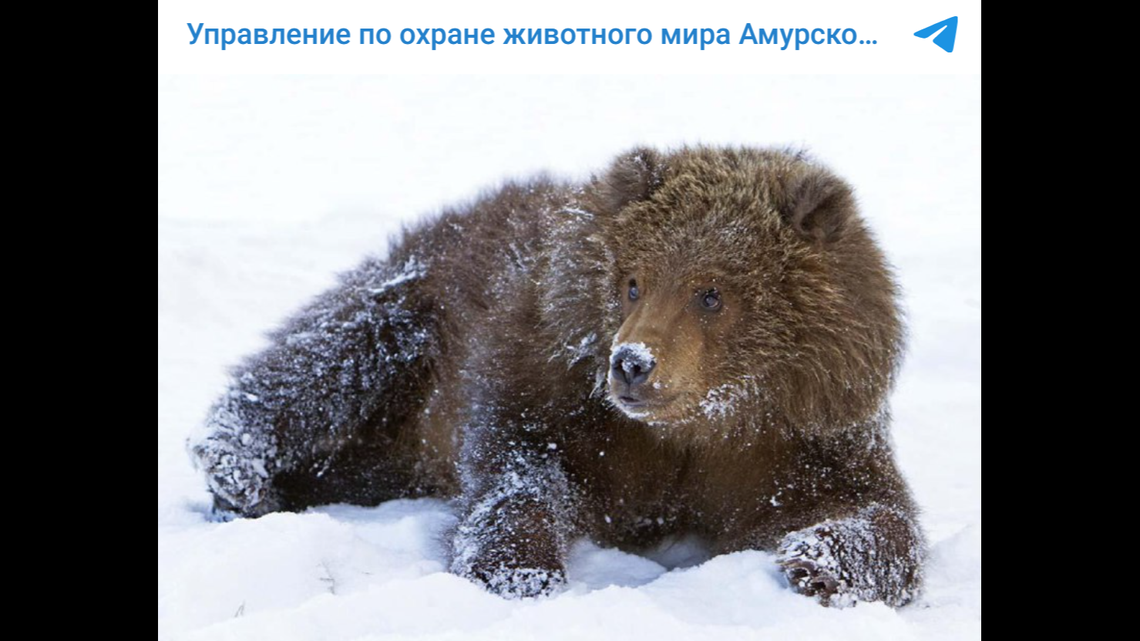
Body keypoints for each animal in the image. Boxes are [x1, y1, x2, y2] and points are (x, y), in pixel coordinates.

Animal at [189, 145, 924, 607]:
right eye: (632, 281)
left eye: (712, 292)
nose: (632, 364)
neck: (695, 427)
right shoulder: (556, 387)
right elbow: (521, 470)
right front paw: (518, 568)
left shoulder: (790, 440)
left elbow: (873, 505)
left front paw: (820, 561)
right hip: (417, 313)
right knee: (327, 360)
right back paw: (237, 467)